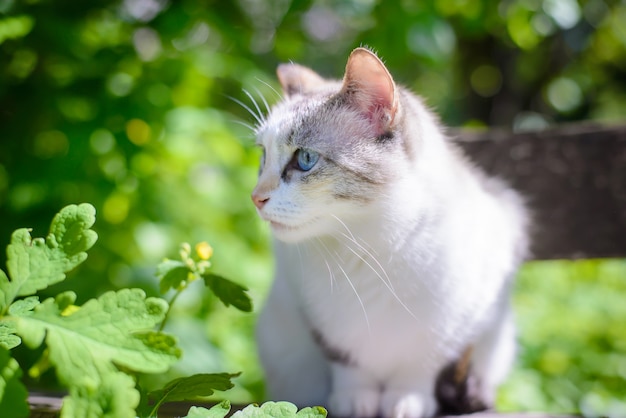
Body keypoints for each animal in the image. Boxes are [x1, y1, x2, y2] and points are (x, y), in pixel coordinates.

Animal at [249, 47, 528, 416]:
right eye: (263, 157)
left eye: (305, 159)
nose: (255, 198)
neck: (363, 246)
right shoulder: (317, 319)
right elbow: (348, 365)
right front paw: (354, 401)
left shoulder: (455, 322)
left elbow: (419, 368)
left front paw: (406, 402)